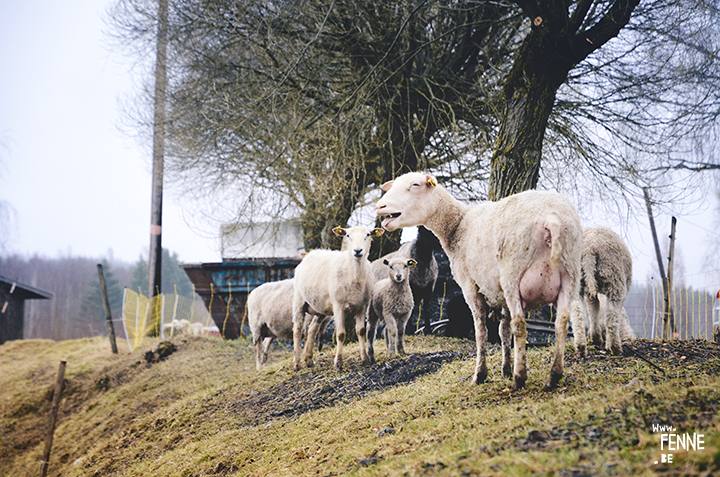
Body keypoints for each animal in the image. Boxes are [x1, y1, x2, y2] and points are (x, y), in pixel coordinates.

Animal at [292, 226, 386, 368]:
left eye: (368, 234)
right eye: (347, 235)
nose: (357, 251)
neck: (353, 274)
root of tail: (311, 253)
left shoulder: (362, 306)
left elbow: (361, 331)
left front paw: (364, 358)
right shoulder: (338, 306)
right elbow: (341, 334)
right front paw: (338, 362)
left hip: (321, 308)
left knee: (312, 328)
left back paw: (308, 360)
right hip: (299, 301)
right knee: (297, 330)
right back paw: (297, 364)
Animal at [376, 173, 584, 388]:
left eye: (415, 184)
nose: (380, 206)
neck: (458, 226)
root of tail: (552, 218)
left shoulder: (470, 286)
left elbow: (481, 331)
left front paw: (481, 374)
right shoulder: (499, 294)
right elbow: (503, 330)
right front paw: (505, 369)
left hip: (513, 274)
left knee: (520, 324)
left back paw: (519, 378)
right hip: (569, 273)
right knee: (561, 322)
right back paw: (554, 376)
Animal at [572, 226, 632, 354]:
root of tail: (589, 249)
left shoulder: (590, 293)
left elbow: (593, 307)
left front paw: (596, 338)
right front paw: (607, 344)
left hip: (577, 280)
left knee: (578, 313)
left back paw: (581, 347)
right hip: (614, 279)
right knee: (611, 314)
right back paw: (615, 348)